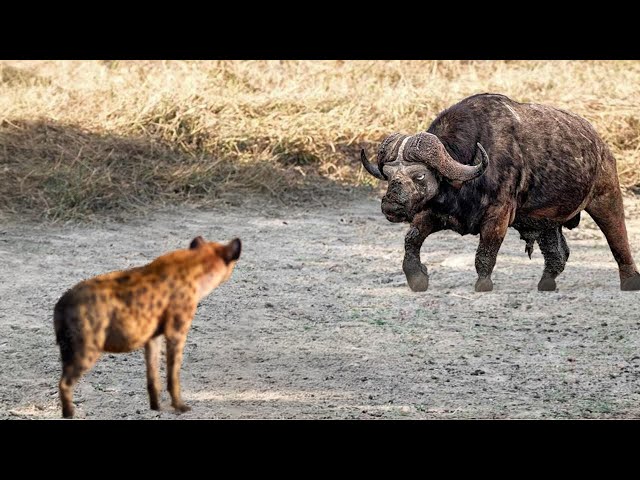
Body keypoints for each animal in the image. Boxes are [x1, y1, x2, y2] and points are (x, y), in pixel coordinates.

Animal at [362, 92, 636, 290]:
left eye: (419, 175)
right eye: (388, 175)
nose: (390, 206)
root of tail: (600, 145)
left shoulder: (498, 216)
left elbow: (485, 254)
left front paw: (483, 285)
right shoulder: (434, 213)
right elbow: (411, 241)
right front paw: (418, 278)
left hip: (606, 196)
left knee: (618, 240)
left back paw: (630, 281)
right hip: (547, 221)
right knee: (558, 254)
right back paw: (546, 283)